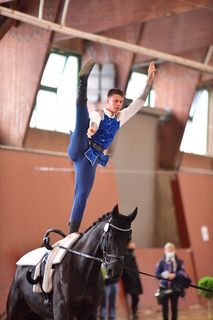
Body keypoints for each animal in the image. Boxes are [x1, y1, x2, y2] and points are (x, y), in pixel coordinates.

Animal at [6, 205, 137, 320]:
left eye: (129, 238)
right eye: (110, 236)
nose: (115, 270)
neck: (83, 271)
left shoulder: (90, 313)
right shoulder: (61, 312)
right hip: (14, 308)